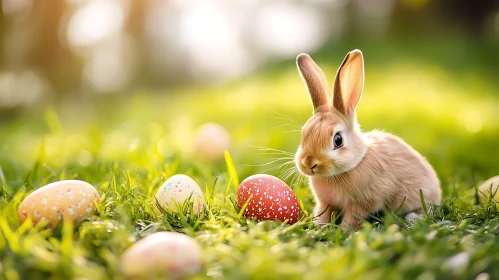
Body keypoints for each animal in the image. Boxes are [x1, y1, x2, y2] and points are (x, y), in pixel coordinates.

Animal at [294, 49, 444, 231]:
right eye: (304, 134)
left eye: (338, 140)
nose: (308, 162)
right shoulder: (326, 203)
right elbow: (324, 213)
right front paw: (318, 227)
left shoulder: (360, 204)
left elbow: (353, 218)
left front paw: (345, 230)